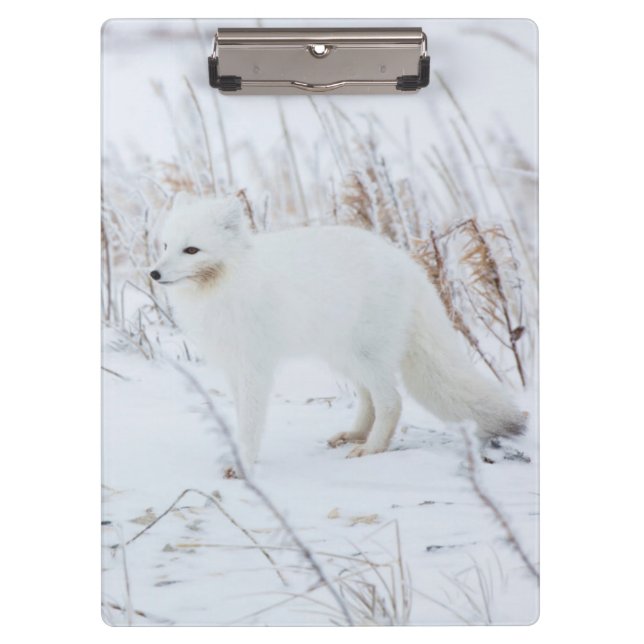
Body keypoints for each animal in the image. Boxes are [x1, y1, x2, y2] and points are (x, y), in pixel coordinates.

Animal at [151, 193, 526, 473]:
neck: (226, 285)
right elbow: (242, 415)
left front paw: (244, 462)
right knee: (369, 399)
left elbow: (252, 421)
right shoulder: (233, 367)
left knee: (391, 401)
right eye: (166, 245)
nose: (153, 273)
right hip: (343, 357)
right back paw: (355, 434)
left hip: (366, 355)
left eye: (191, 250)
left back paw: (372, 448)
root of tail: (408, 265)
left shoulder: (256, 368)